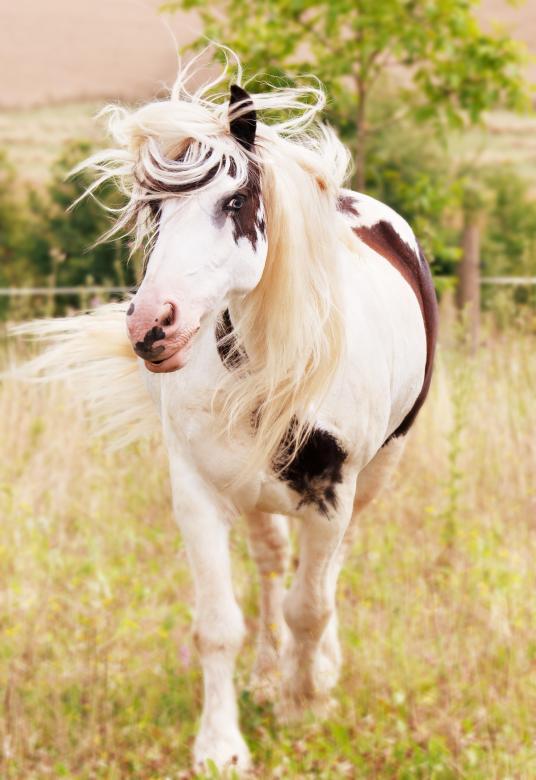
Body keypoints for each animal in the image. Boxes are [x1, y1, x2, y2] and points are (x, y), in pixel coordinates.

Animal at [12, 57, 438, 773]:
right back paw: (267, 674)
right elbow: (219, 625)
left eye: (234, 202)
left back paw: (315, 671)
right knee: (269, 565)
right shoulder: (198, 491)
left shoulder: (332, 492)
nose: (153, 326)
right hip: (254, 490)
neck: (268, 365)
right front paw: (221, 745)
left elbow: (309, 605)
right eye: (154, 208)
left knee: (323, 576)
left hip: (378, 472)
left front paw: (304, 704)